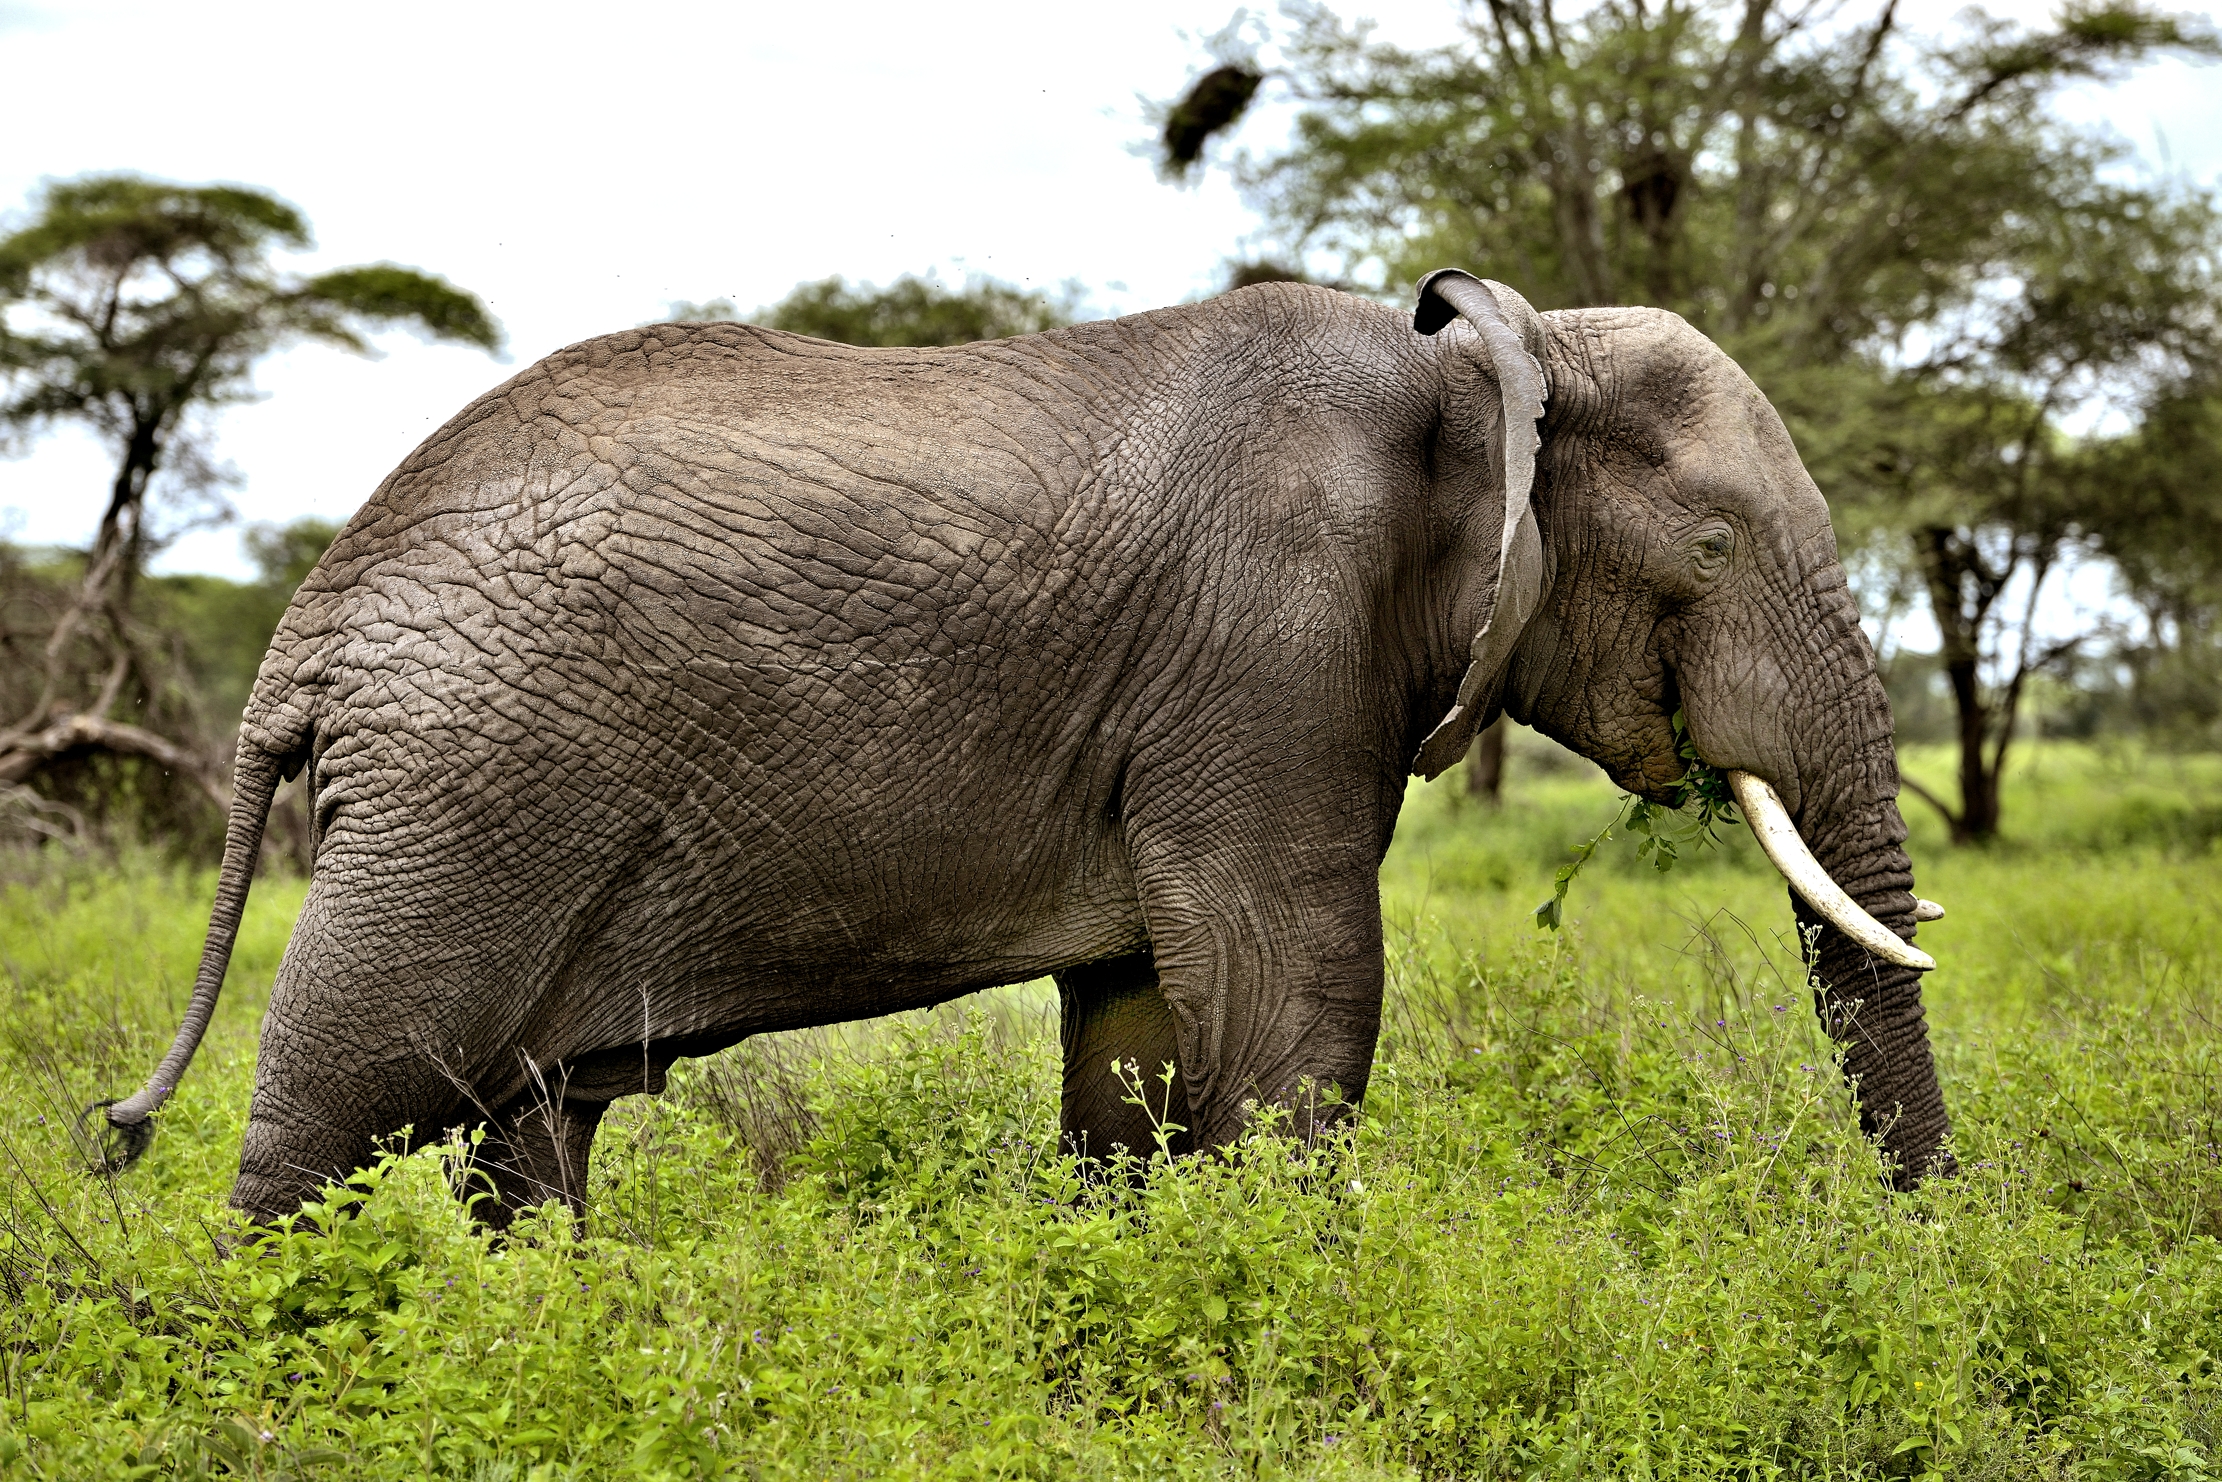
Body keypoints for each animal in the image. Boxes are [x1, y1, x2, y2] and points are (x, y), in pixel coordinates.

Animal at [100, 271, 1950, 1226]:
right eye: (1711, 546)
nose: (1924, 1239)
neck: (1487, 358)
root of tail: (309, 631)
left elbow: (1135, 1035)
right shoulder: (1273, 641)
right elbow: (1295, 989)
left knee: (526, 1132)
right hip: (470, 787)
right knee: (338, 1096)